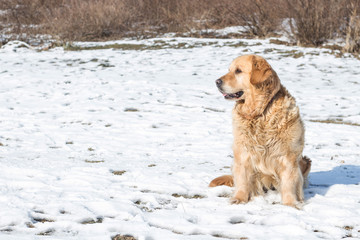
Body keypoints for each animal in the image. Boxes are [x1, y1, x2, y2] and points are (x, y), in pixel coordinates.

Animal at [210, 54, 310, 208]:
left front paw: (290, 204)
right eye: (229, 70)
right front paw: (239, 198)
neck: (259, 112)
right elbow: (243, 179)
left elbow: (289, 183)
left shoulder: (287, 156)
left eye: (238, 71)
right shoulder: (243, 152)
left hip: (305, 161)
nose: (217, 82)